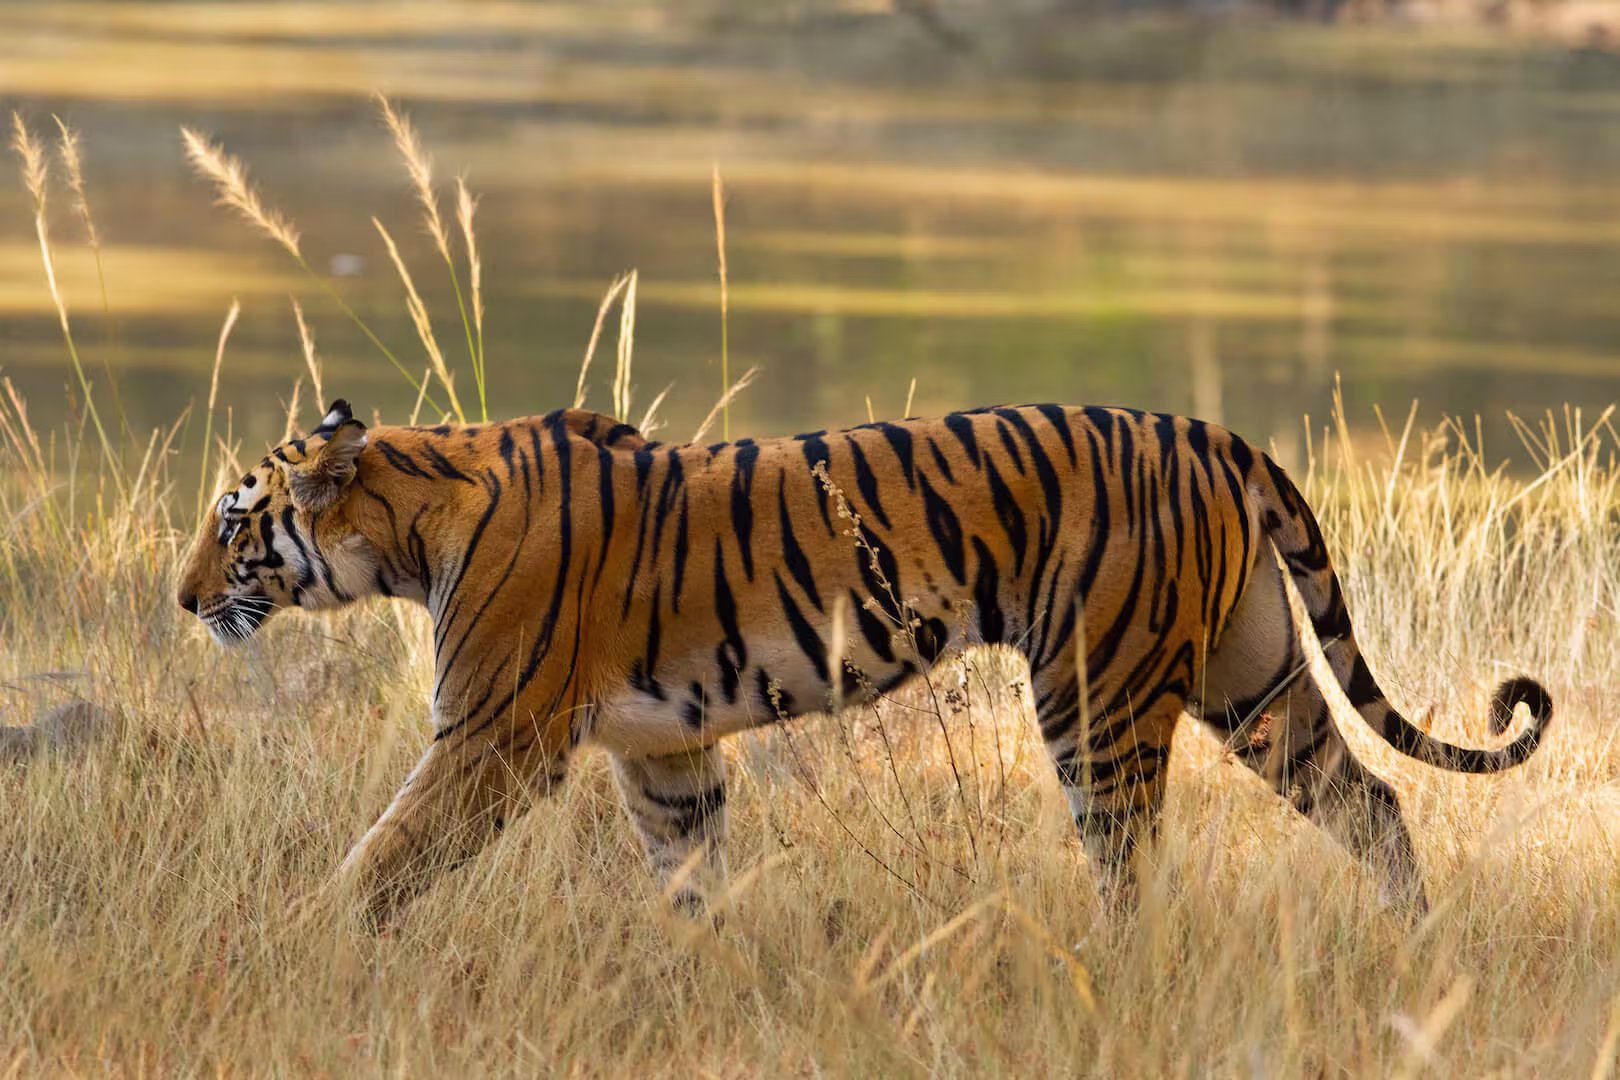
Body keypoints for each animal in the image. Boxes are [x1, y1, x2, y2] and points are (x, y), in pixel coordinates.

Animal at [177, 399, 1552, 923]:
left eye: (236, 525)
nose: (181, 599)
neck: (413, 521)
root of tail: (1209, 431)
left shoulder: (492, 737)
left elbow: (383, 856)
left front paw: (310, 941)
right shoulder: (665, 750)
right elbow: (692, 873)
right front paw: (706, 969)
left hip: (1099, 696)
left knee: (1128, 862)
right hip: (1252, 678)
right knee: (1373, 800)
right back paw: (1412, 945)